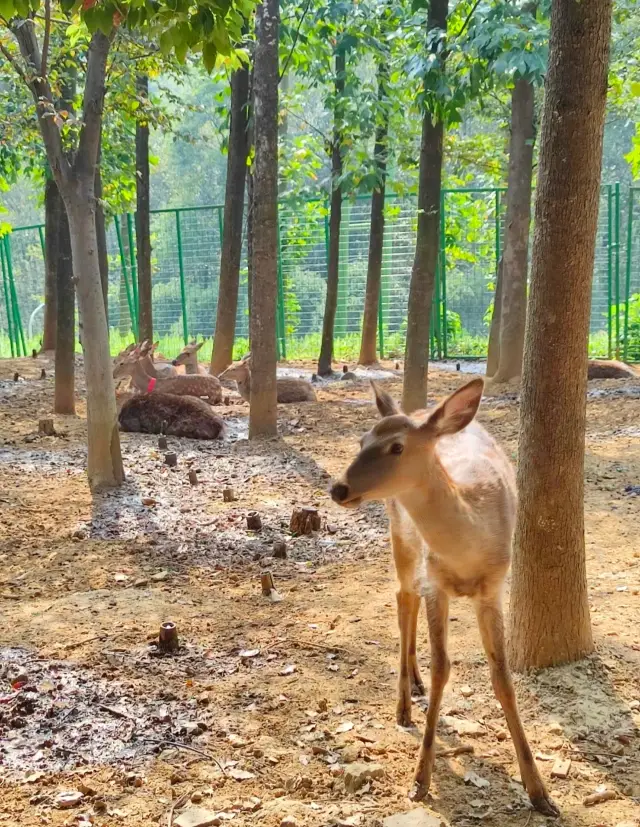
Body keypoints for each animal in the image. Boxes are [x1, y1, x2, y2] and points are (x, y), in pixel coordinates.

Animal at [332, 378, 556, 820]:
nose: (339, 488)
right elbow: (442, 668)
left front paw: (539, 792)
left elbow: (502, 676)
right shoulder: (437, 582)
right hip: (400, 532)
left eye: (396, 447)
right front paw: (420, 779)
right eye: (362, 439)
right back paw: (403, 704)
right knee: (403, 595)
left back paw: (412, 684)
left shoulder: (494, 586)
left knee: (410, 598)